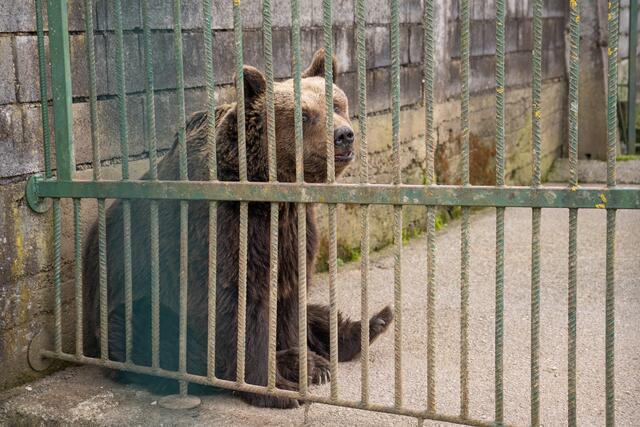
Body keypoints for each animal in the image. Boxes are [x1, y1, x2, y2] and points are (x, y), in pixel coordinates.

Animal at [82, 48, 393, 409]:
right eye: (304, 116)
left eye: (338, 105)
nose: (344, 135)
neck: (270, 191)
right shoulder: (220, 228)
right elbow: (236, 305)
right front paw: (278, 386)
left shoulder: (293, 232)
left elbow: (290, 300)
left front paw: (306, 362)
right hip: (134, 299)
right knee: (157, 336)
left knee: (315, 311)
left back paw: (371, 324)